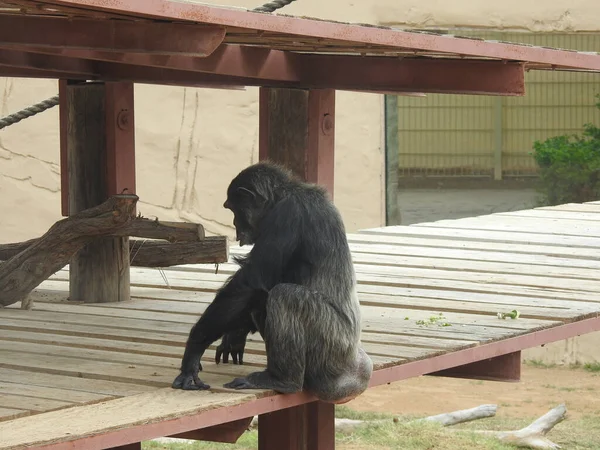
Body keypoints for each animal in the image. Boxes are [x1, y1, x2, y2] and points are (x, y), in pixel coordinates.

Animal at [171, 161, 372, 404]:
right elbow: (253, 291)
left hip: (332, 347)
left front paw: (193, 349)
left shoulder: (287, 215)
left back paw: (280, 380)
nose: (234, 223)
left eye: (233, 208)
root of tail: (354, 376)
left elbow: (250, 280)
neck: (286, 194)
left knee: (285, 296)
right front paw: (234, 336)